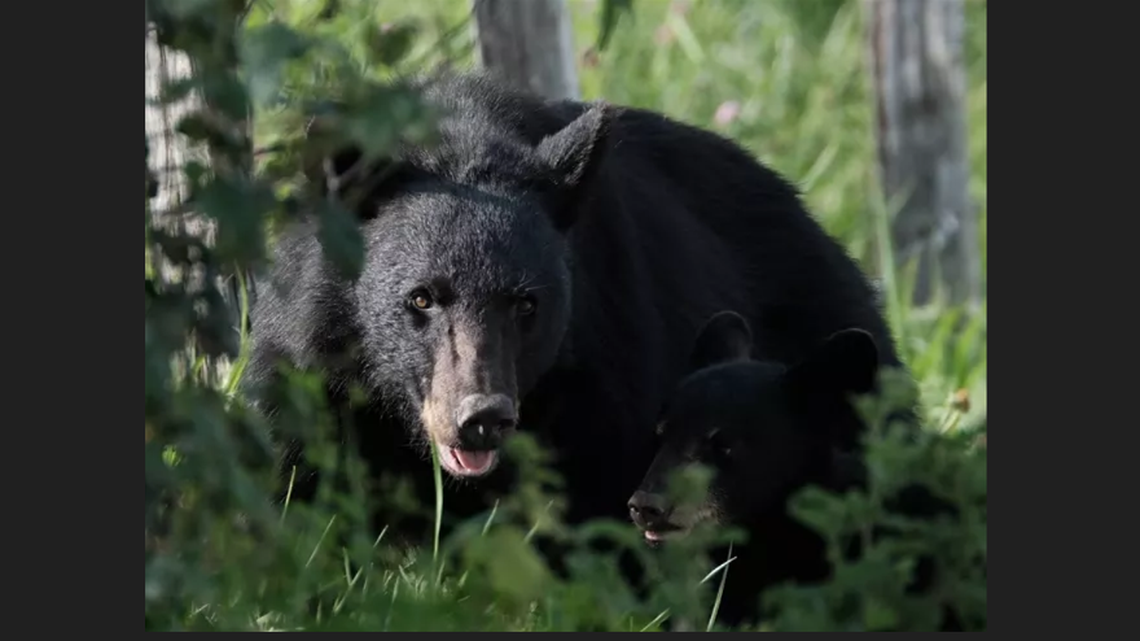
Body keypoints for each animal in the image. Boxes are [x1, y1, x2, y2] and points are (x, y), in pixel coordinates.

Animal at [242, 72, 904, 552]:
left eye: (526, 303)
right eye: (421, 298)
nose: (481, 419)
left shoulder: (607, 372)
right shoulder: (310, 364)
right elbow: (301, 489)